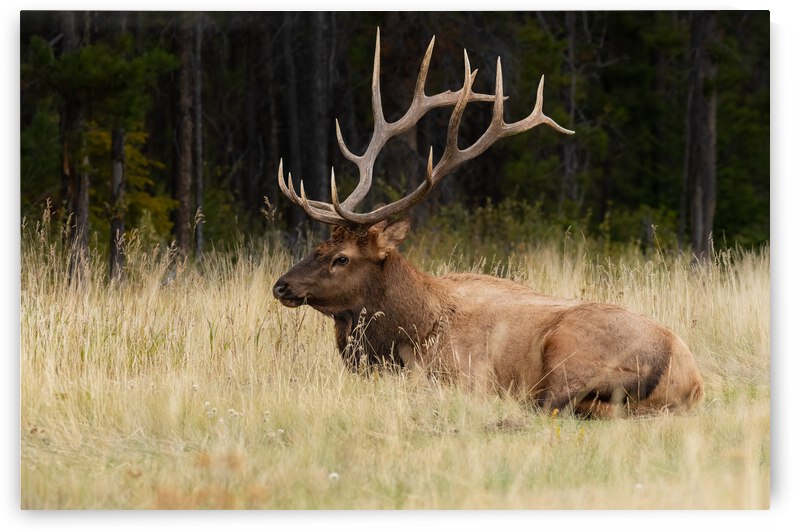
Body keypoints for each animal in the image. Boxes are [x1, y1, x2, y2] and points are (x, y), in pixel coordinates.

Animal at [272, 30, 703, 417]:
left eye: (341, 258)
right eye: (317, 247)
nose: (281, 285)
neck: (412, 329)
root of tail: (689, 377)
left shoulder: (457, 373)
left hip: (569, 351)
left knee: (551, 405)